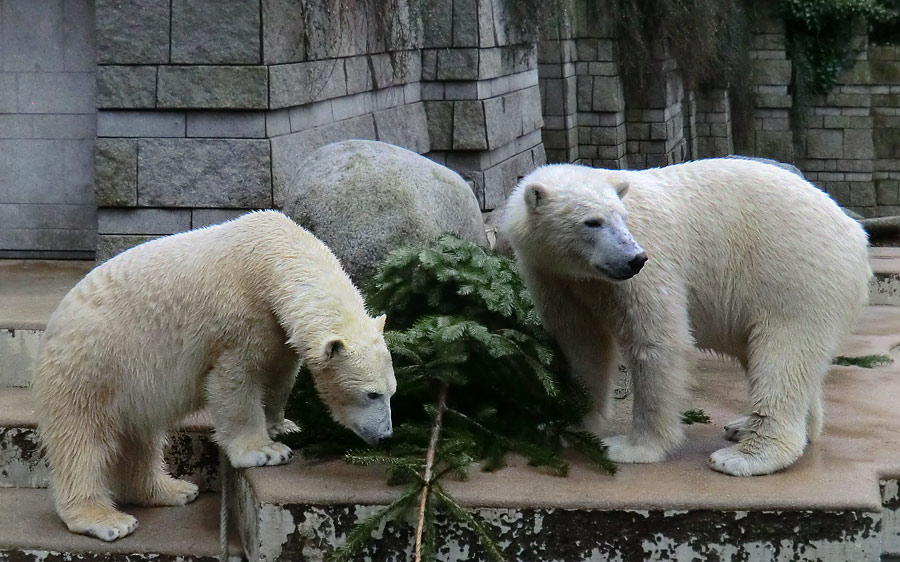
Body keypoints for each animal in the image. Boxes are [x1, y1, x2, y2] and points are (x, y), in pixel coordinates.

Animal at [33, 209, 396, 540]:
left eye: (392, 392)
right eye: (371, 394)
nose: (386, 436)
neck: (272, 256)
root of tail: (52, 327)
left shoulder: (277, 328)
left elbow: (280, 375)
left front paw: (283, 425)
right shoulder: (238, 318)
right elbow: (236, 382)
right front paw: (265, 451)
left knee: (141, 439)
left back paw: (172, 490)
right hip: (93, 366)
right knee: (83, 441)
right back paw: (106, 519)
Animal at [500, 159, 872, 476]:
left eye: (622, 217)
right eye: (592, 221)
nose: (635, 258)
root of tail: (856, 232)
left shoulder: (650, 267)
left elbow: (658, 340)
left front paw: (632, 447)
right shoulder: (555, 277)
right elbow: (582, 344)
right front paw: (569, 422)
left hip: (796, 277)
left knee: (783, 356)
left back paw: (744, 456)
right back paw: (748, 427)